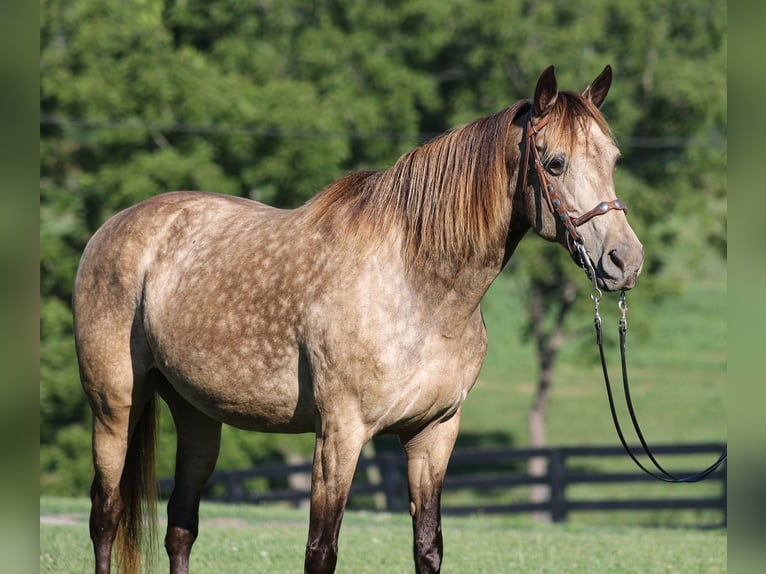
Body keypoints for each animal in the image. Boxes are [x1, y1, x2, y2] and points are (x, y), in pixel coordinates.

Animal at [73, 65, 643, 574]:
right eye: (555, 163)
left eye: (614, 158)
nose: (625, 261)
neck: (417, 287)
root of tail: (114, 228)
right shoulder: (339, 436)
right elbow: (321, 552)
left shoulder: (433, 434)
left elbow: (428, 548)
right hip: (114, 409)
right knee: (106, 516)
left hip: (197, 415)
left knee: (181, 527)